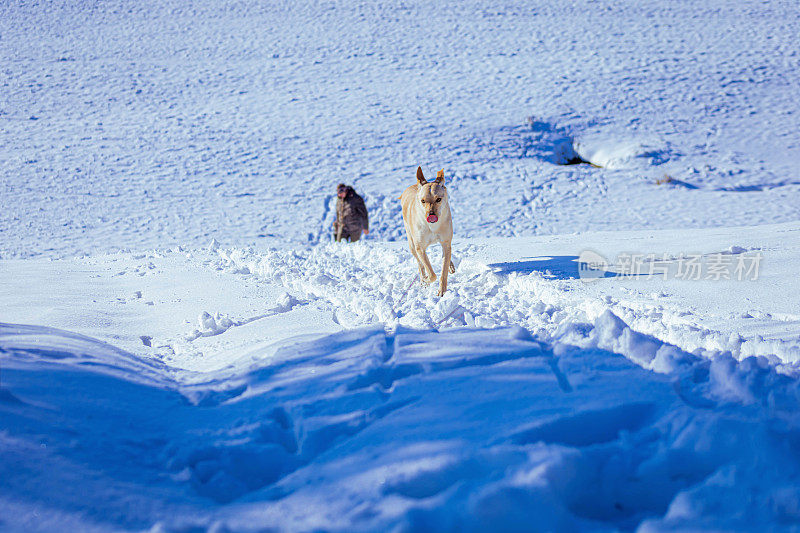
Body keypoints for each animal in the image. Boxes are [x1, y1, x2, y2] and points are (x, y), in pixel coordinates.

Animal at [400, 165, 456, 296]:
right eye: (423, 201)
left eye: (439, 199)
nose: (431, 215)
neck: (433, 227)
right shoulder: (420, 248)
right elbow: (431, 273)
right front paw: (425, 280)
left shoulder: (446, 242)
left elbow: (443, 269)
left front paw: (442, 290)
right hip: (411, 243)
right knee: (420, 265)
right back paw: (423, 279)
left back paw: (450, 266)